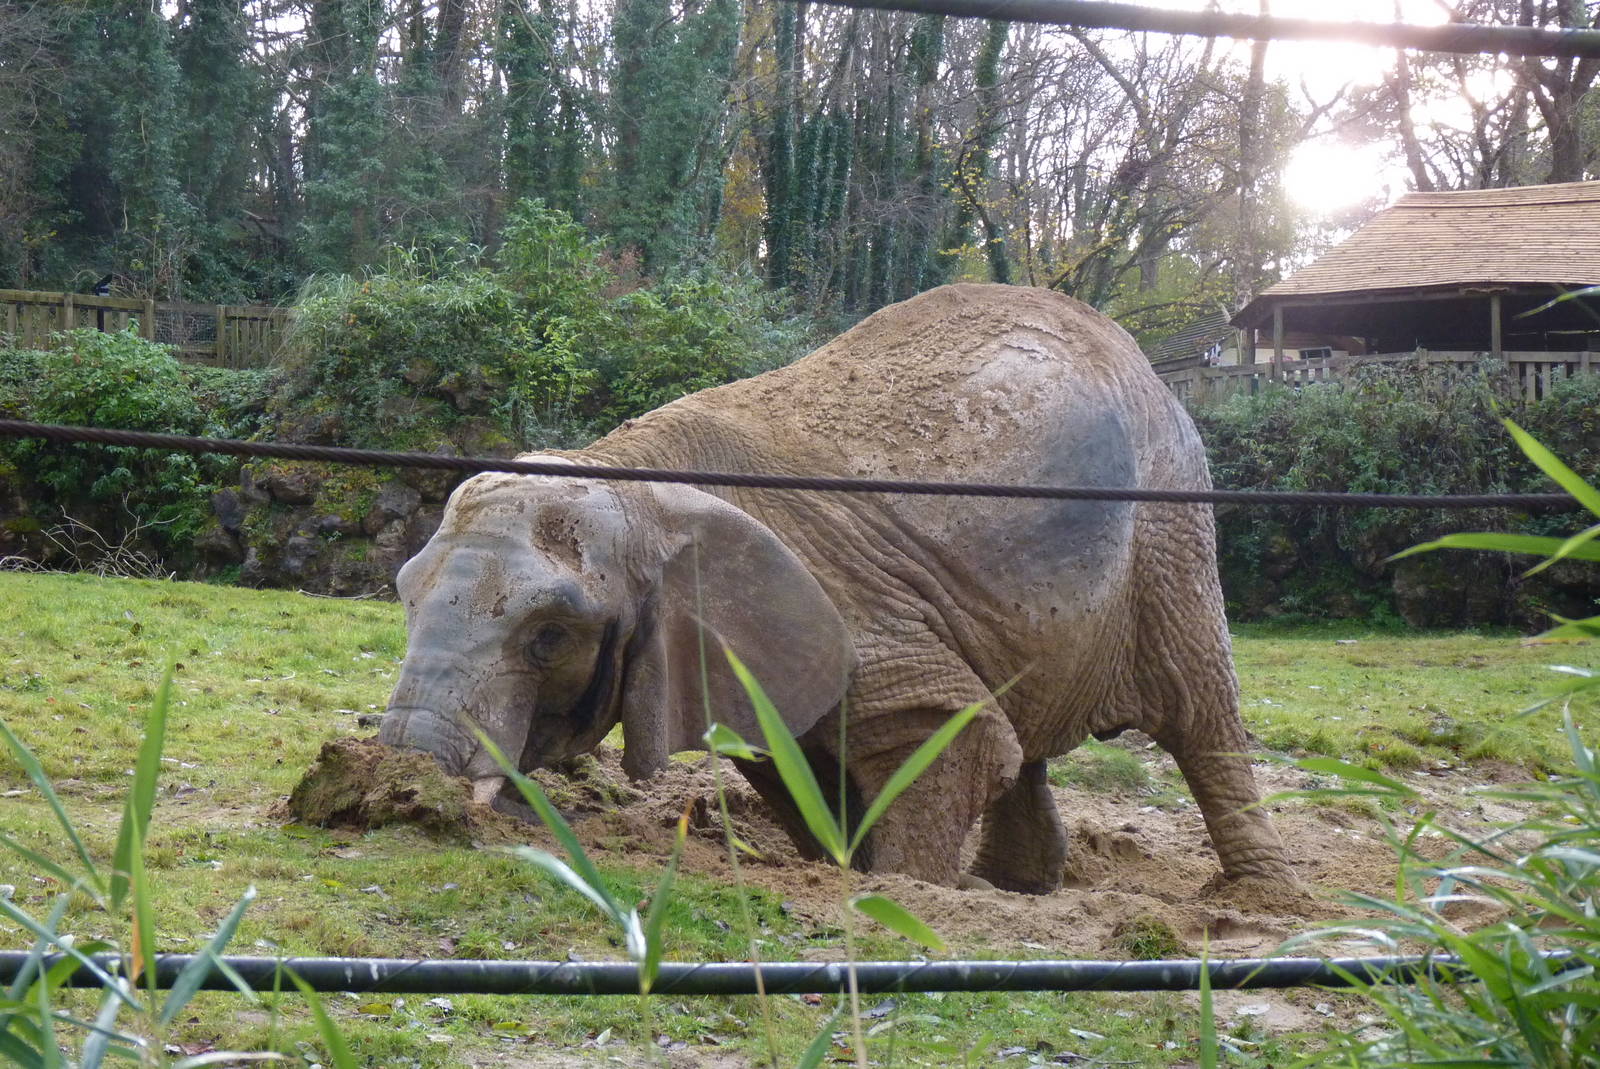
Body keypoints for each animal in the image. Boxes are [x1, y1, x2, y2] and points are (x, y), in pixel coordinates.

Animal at [378, 283, 1294, 893]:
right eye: (405, 595)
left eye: (549, 634)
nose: (401, 796)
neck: (635, 480)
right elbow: (794, 758)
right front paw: (849, 865)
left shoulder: (856, 605)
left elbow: (949, 729)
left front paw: (904, 893)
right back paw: (1016, 889)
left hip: (1172, 528)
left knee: (1199, 713)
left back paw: (1253, 902)